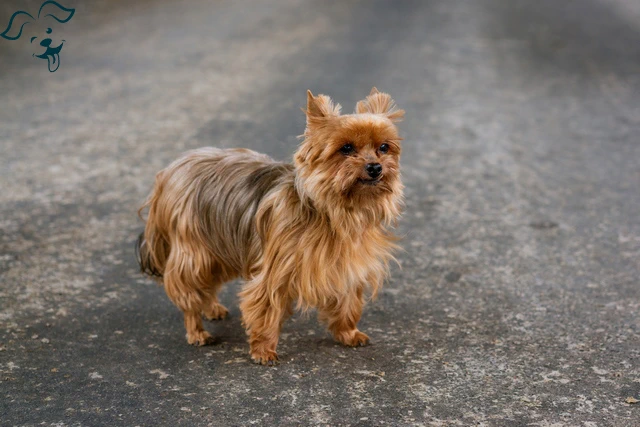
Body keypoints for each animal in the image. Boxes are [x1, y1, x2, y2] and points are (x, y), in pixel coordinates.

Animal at [136, 88, 404, 366]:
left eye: (384, 147)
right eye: (347, 148)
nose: (375, 167)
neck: (332, 211)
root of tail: (170, 171)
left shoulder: (347, 265)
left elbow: (348, 302)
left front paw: (348, 333)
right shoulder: (276, 270)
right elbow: (266, 307)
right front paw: (263, 350)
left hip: (218, 245)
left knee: (208, 283)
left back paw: (211, 308)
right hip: (194, 250)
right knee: (189, 289)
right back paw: (197, 331)